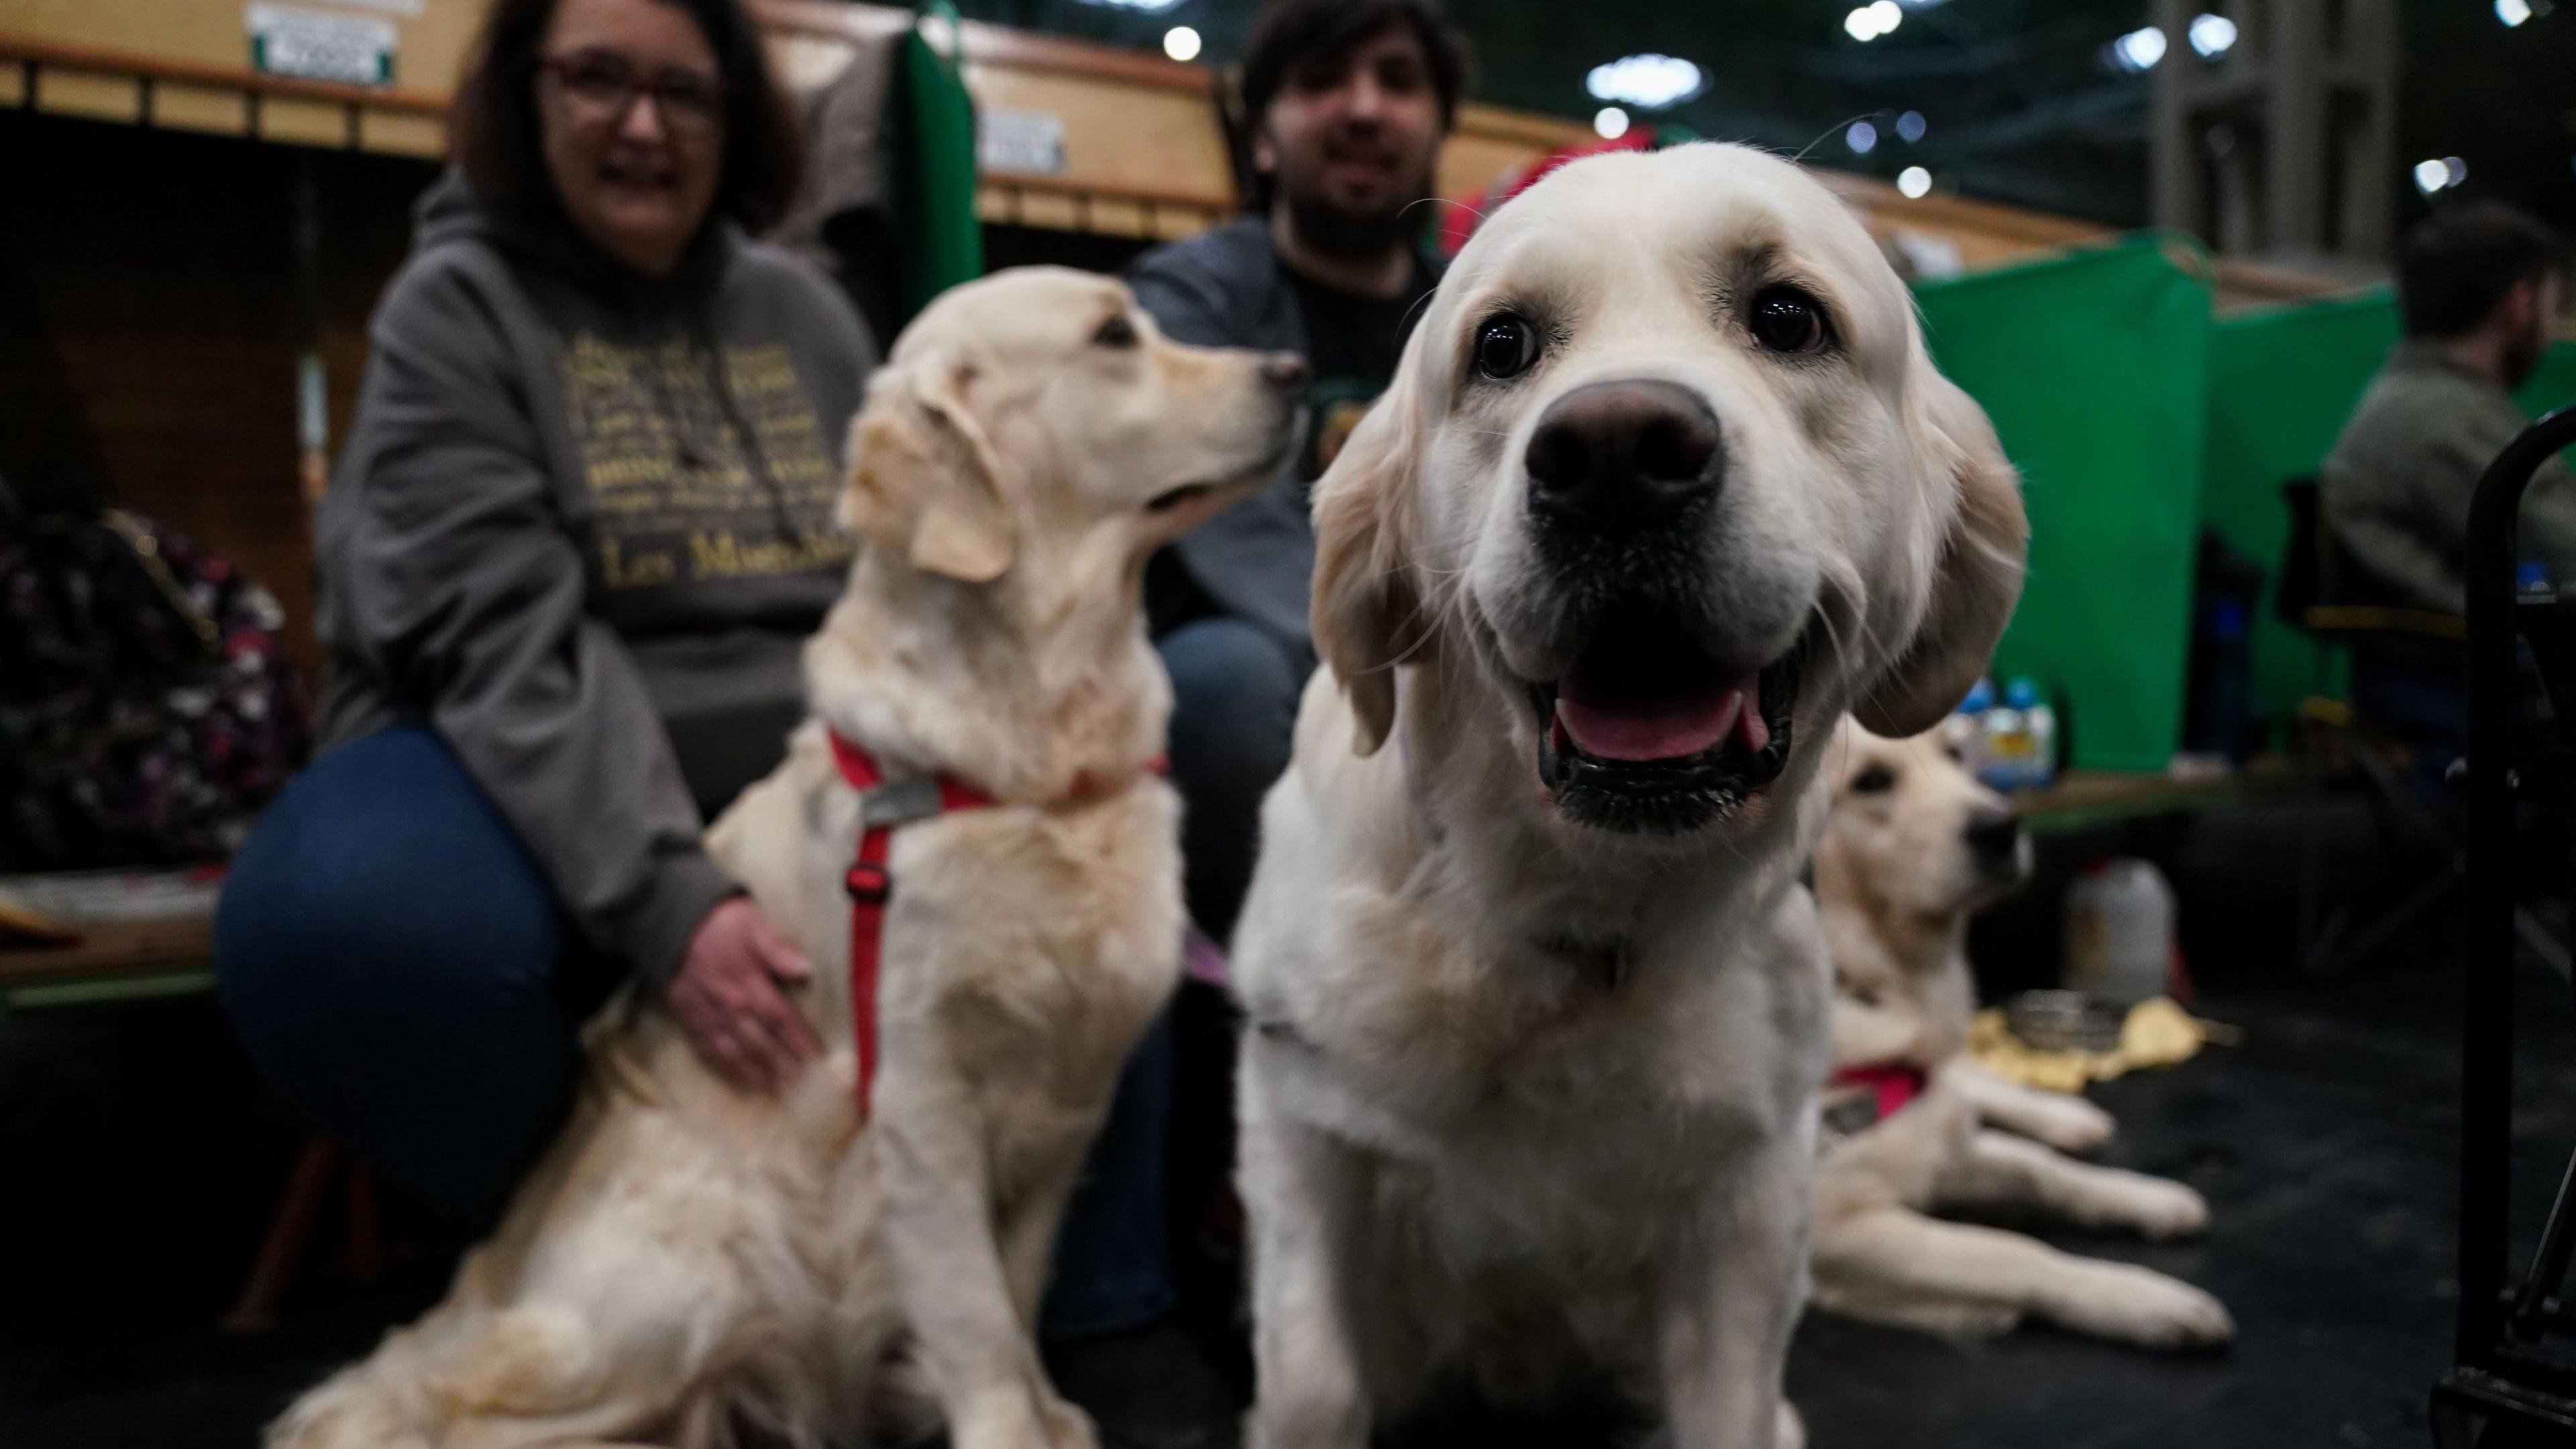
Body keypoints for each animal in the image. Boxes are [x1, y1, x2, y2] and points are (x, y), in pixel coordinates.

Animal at [269, 262, 1308, 1444]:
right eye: (1112, 338)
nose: (1294, 371)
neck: (1035, 746)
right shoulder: (918, 1103)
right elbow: (974, 1315)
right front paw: (1010, 1427)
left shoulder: (1064, 1105)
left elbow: (1017, 1289)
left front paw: (1051, 1414)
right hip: (701, 1269)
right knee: (457, 1412)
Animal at [1226, 138, 2029, 1444]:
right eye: (1503, 345)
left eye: (1787, 317)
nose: (1613, 457)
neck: (1572, 911)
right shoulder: (1303, 1130)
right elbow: (1311, 1382)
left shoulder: (1750, 1202)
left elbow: (1729, 1403)